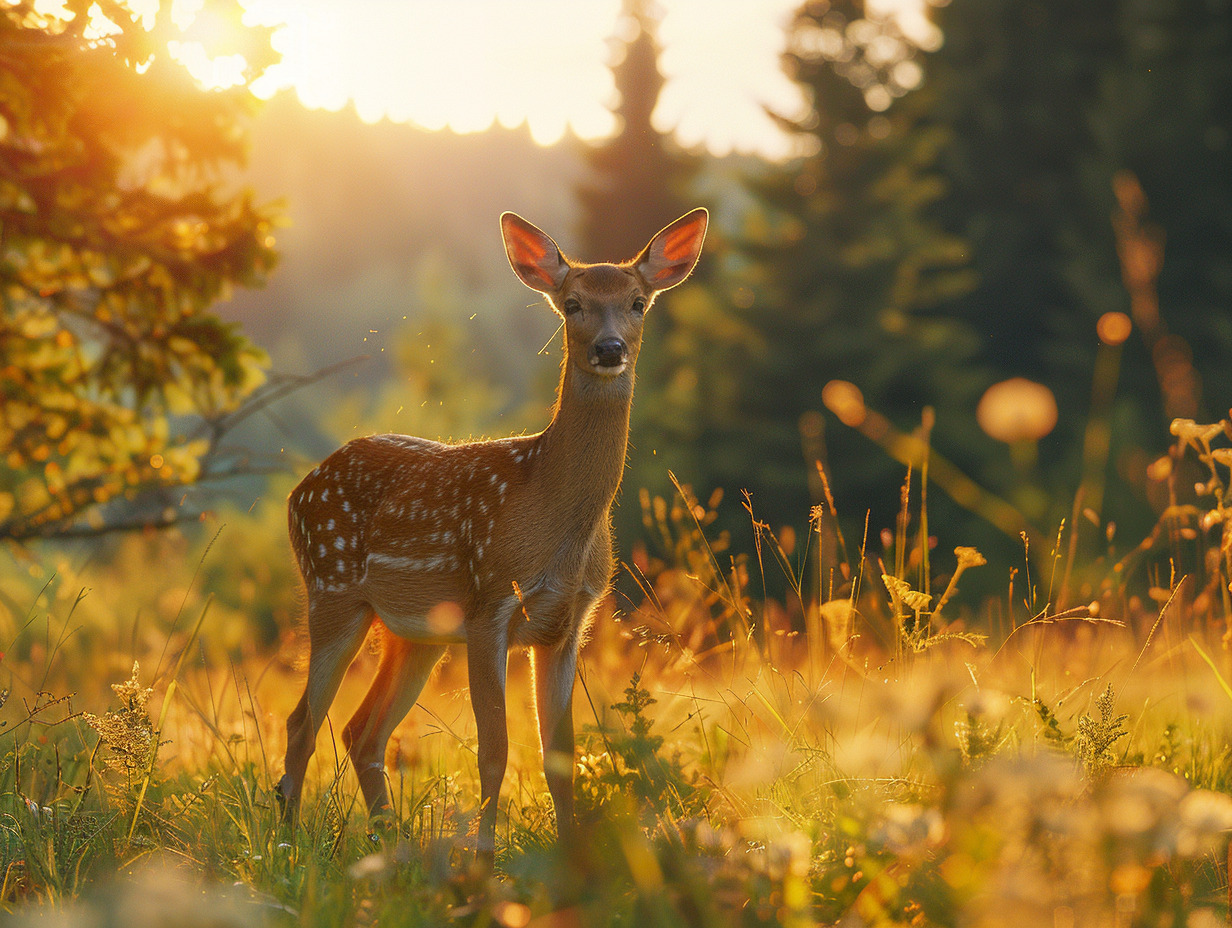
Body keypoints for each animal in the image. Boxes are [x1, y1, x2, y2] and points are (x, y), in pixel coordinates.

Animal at [274, 205, 709, 867]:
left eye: (637, 303)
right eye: (573, 304)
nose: (609, 348)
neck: (555, 522)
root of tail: (299, 489)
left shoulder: (566, 625)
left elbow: (561, 757)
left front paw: (571, 858)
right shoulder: (491, 605)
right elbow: (495, 750)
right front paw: (481, 858)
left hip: (414, 633)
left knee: (362, 731)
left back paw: (389, 844)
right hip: (333, 590)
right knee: (303, 722)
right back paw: (288, 847)